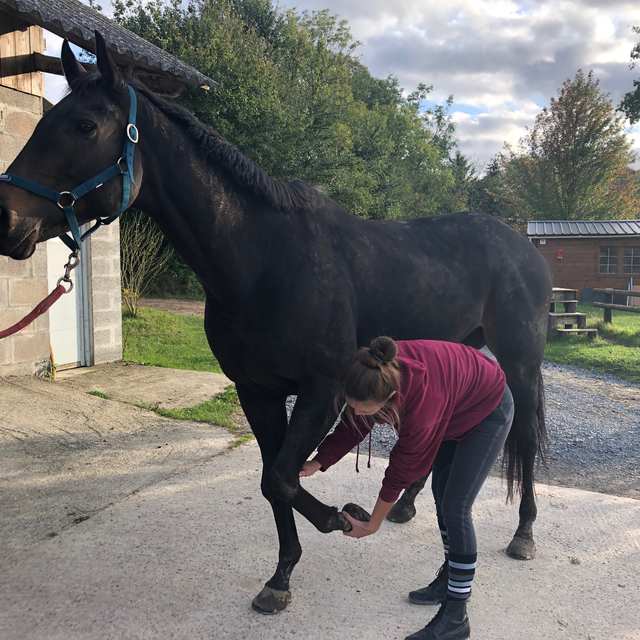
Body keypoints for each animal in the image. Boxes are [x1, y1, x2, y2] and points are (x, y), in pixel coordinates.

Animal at [0, 33, 552, 614]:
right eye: (46, 119)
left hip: (518, 363)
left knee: (524, 435)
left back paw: (523, 534)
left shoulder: (323, 392)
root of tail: (522, 245)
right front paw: (282, 575)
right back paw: (405, 506)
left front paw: (337, 519)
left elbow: (284, 477)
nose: (6, 220)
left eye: (85, 125)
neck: (263, 260)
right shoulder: (257, 391)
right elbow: (271, 479)